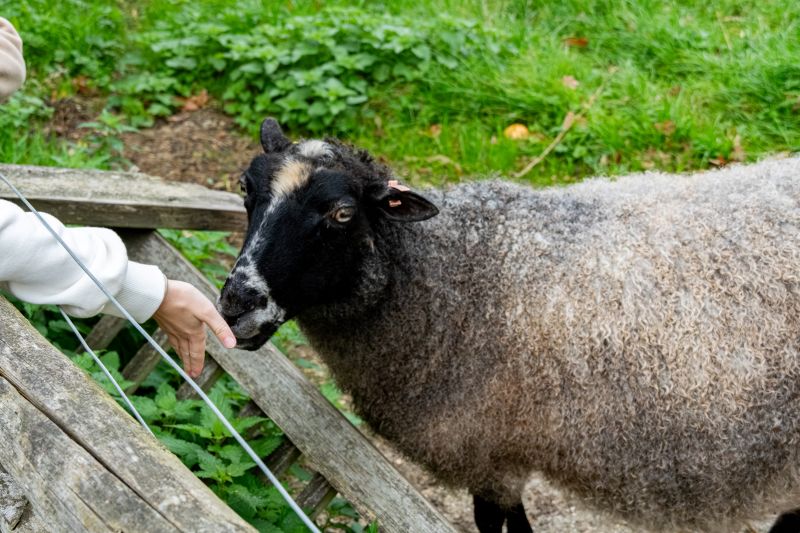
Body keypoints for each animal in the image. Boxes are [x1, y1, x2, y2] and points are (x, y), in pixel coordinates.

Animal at [218, 118, 800, 533]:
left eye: (341, 214)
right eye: (246, 188)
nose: (237, 304)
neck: (452, 279)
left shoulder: (491, 453)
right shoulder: (500, 458)